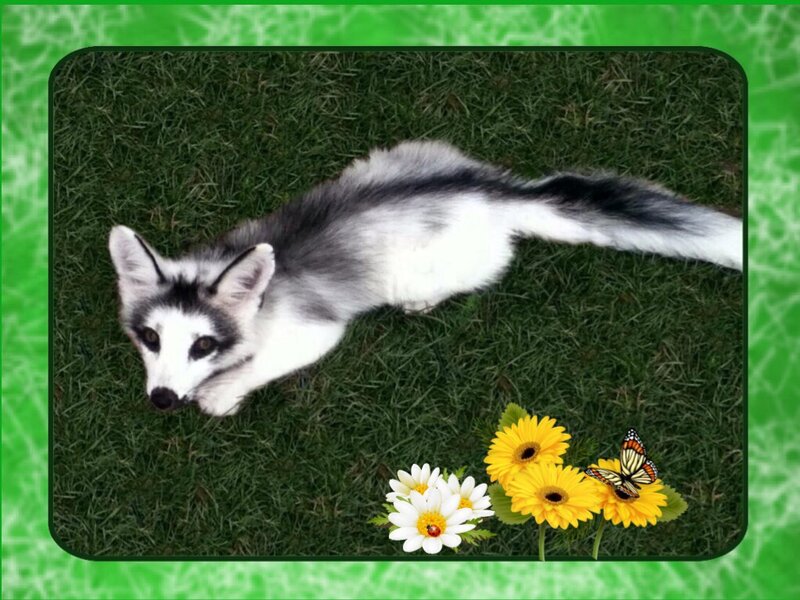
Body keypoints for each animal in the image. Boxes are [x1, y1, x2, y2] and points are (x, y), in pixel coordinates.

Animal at [109, 140, 742, 417]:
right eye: (151, 338)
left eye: (204, 345)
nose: (162, 400)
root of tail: (498, 193)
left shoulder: (316, 330)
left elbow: (263, 363)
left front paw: (221, 392)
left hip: (422, 273)